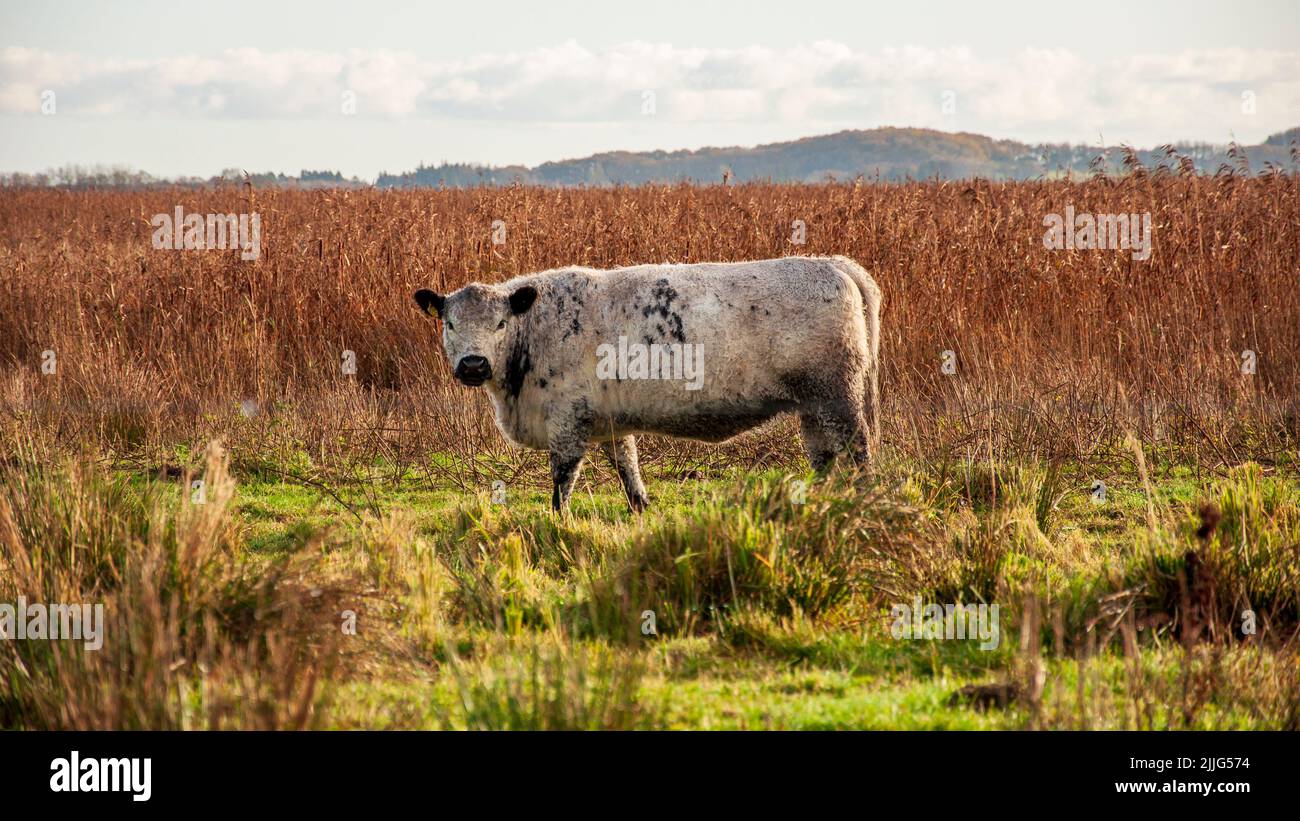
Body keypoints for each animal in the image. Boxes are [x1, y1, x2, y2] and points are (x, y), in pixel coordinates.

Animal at [416, 257, 883, 514]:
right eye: (450, 323)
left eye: (500, 323)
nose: (473, 364)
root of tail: (832, 263)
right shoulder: (608, 422)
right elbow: (629, 468)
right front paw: (641, 508)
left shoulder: (566, 423)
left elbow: (562, 482)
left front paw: (559, 523)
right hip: (814, 407)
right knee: (824, 458)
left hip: (838, 397)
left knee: (859, 453)